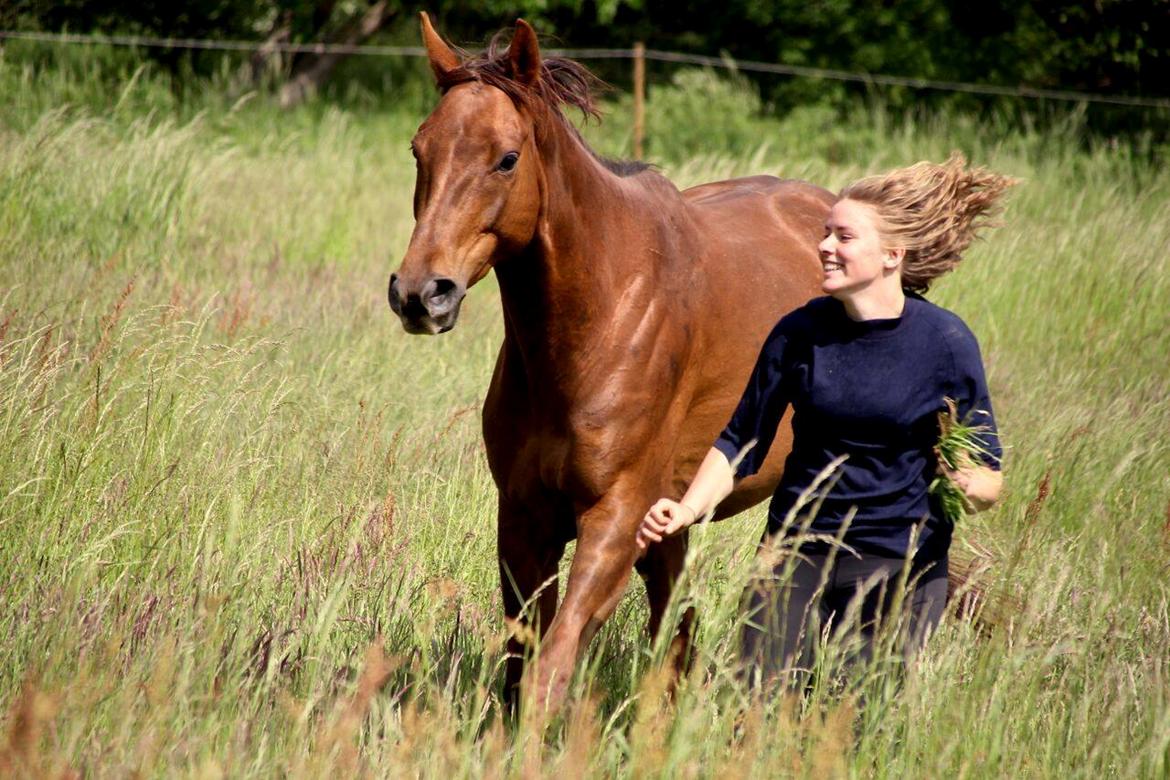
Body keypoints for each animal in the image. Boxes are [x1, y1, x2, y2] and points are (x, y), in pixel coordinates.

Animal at [390, 12, 833, 711]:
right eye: (419, 150)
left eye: (506, 159)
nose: (419, 294)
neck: (595, 327)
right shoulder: (525, 520)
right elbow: (521, 661)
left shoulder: (615, 520)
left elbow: (552, 668)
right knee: (675, 626)